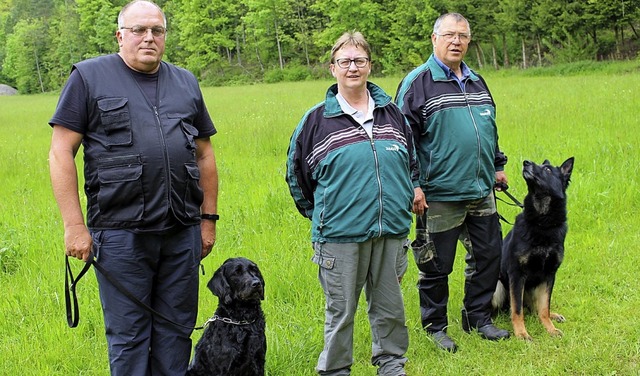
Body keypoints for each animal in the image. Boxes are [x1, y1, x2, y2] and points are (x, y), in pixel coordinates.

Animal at [492, 157, 576, 340]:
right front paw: (521, 333)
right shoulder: (517, 275)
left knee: (536, 308)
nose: (526, 162)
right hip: (498, 287)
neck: (542, 223)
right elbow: (517, 310)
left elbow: (544, 307)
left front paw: (550, 328)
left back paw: (553, 316)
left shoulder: (549, 275)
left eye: (548, 169)